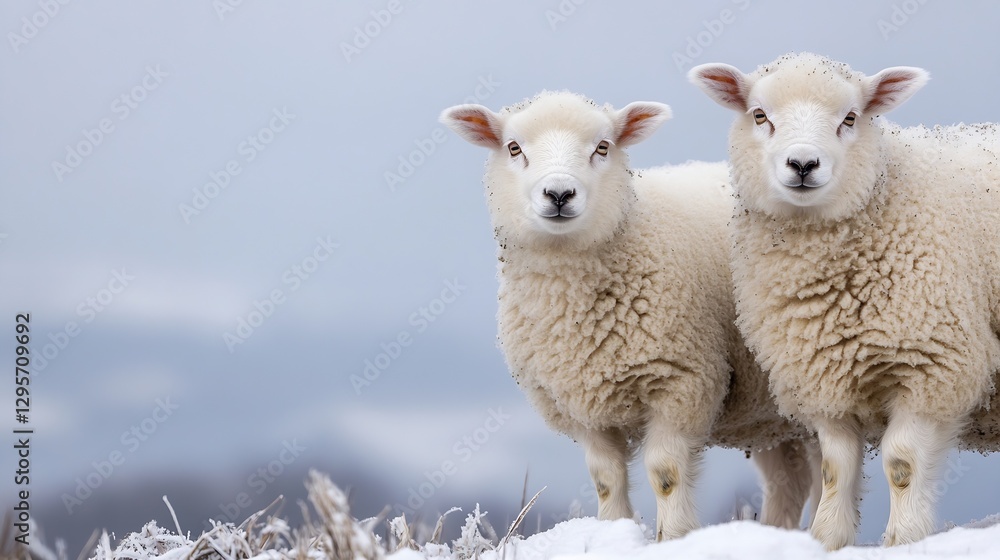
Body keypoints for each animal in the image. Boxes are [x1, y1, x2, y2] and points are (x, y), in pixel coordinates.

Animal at [439, 91, 818, 540]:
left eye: (603, 147)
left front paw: (673, 537)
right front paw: (612, 532)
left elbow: (666, 473)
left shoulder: (681, 382)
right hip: (770, 412)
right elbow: (605, 479)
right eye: (514, 148)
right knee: (790, 481)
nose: (559, 194)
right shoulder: (582, 404)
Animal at [690, 52, 1000, 550]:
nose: (803, 163)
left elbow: (902, 463)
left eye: (850, 118)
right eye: (759, 115)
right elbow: (835, 469)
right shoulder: (825, 376)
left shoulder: (933, 364)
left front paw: (904, 540)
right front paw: (827, 539)